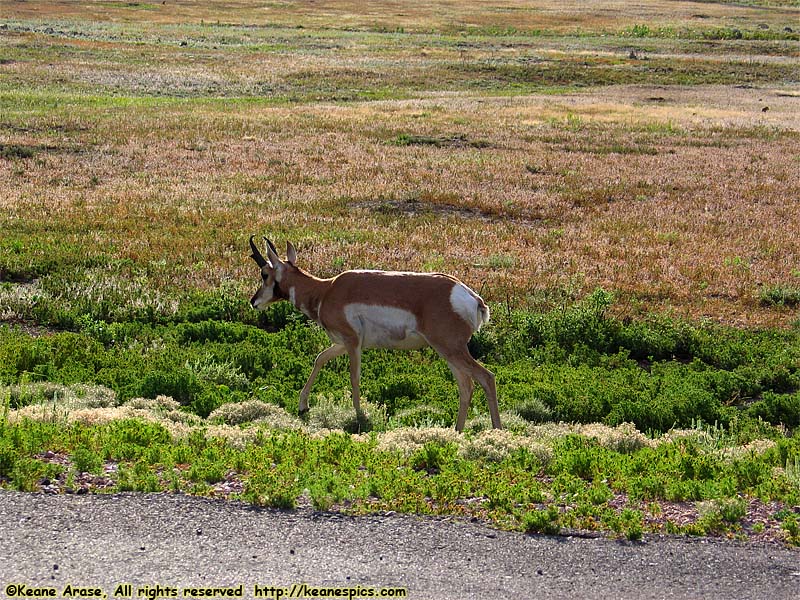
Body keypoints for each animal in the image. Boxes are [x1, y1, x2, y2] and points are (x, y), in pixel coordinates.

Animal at [250, 236, 500, 432]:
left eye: (264, 274)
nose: (253, 302)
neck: (326, 290)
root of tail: (471, 297)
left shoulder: (352, 342)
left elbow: (354, 377)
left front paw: (359, 417)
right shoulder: (342, 343)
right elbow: (319, 359)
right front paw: (303, 406)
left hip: (451, 349)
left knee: (486, 377)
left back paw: (496, 430)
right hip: (448, 353)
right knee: (466, 385)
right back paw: (457, 431)